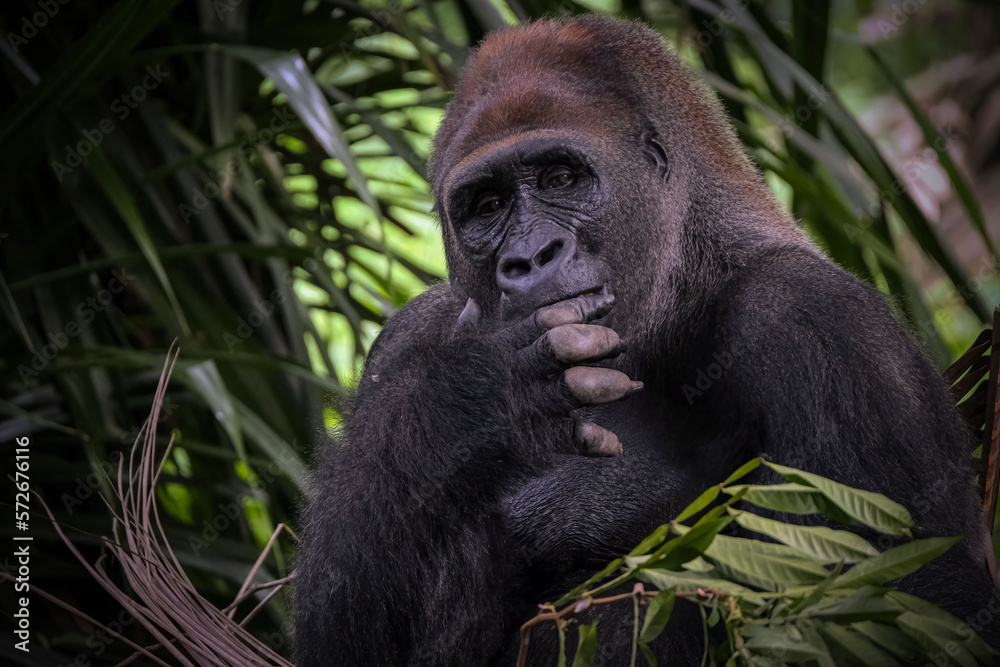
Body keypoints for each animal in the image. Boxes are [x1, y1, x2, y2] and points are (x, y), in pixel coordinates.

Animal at [293, 15, 1000, 665]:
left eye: (560, 179)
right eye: (487, 205)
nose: (529, 258)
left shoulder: (816, 323)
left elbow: (914, 600)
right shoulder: (411, 333)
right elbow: (341, 640)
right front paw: (468, 400)